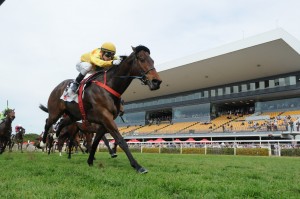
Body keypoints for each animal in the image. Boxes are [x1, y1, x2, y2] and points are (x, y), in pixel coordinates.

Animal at [40, 45, 162, 173]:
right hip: (55, 112)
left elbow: (96, 142)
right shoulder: (105, 118)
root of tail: (57, 87)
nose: (156, 81)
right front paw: (137, 166)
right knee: (48, 123)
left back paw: (56, 135)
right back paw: (44, 143)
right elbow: (121, 141)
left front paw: (90, 160)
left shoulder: (104, 122)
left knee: (62, 124)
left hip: (73, 116)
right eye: (142, 59)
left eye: (152, 61)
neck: (109, 86)